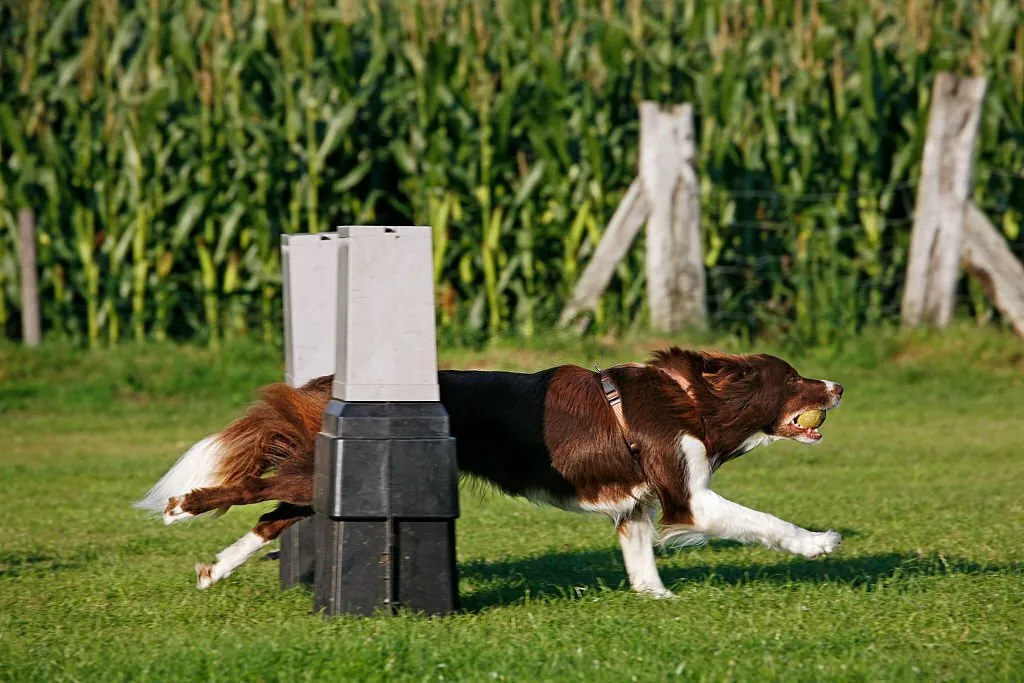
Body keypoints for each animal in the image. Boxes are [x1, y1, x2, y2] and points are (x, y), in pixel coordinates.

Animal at [134, 350, 839, 593]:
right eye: (793, 378)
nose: (837, 387)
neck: (693, 399)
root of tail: (323, 386)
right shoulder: (686, 497)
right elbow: (763, 521)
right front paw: (820, 543)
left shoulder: (637, 508)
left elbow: (642, 564)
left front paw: (656, 602)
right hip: (316, 472)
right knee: (253, 489)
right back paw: (180, 509)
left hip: (319, 480)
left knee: (271, 516)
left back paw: (213, 569)